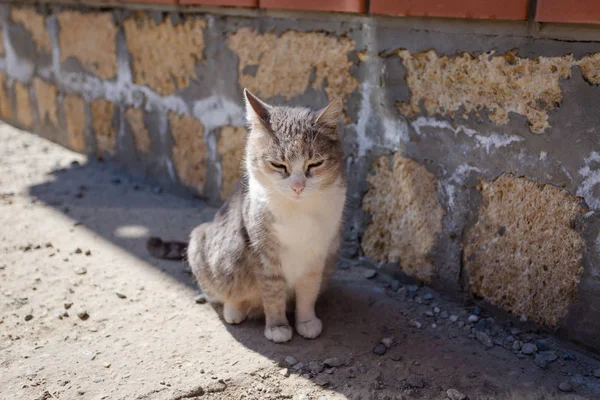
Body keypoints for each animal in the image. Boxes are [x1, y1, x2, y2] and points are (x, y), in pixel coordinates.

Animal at [149, 90, 346, 344]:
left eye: (315, 163)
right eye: (278, 165)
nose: (298, 187)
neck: (297, 210)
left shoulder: (317, 253)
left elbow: (308, 290)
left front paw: (306, 321)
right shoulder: (263, 252)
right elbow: (272, 293)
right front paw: (277, 327)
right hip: (203, 244)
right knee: (222, 291)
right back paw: (234, 309)